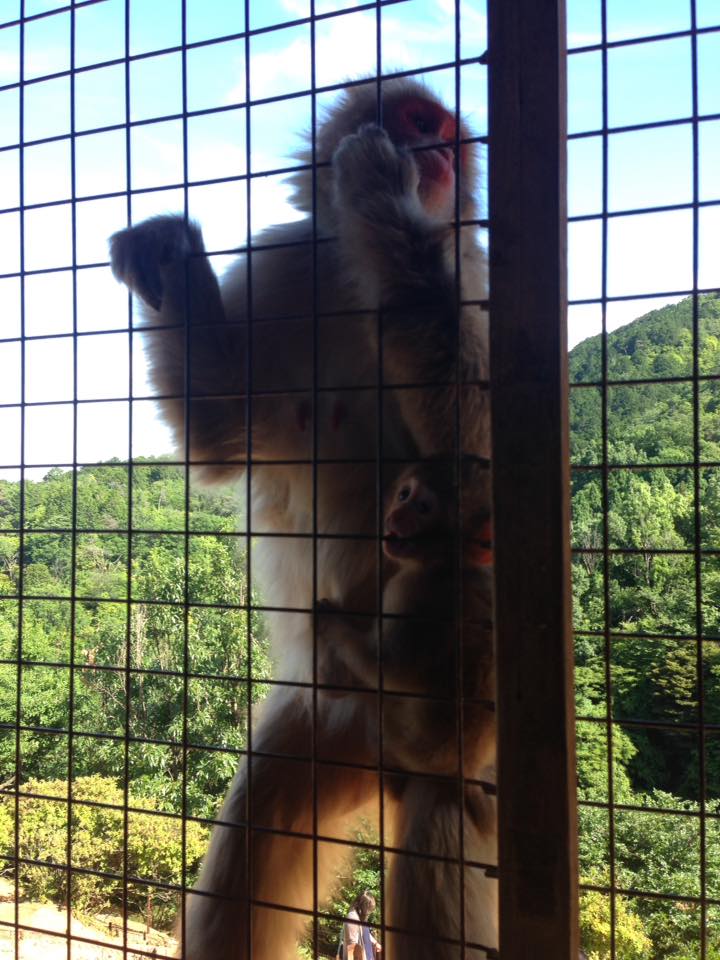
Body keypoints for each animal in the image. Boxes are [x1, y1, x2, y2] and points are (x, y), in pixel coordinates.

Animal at [109, 77, 492, 960]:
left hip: (435, 724)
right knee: (245, 863)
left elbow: (482, 459)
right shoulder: (287, 264)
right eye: (420, 121)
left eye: (448, 138)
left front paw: (382, 200)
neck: (350, 274)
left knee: (441, 814)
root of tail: (378, 760)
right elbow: (224, 433)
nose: (434, 155)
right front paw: (170, 259)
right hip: (320, 720)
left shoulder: (474, 273)